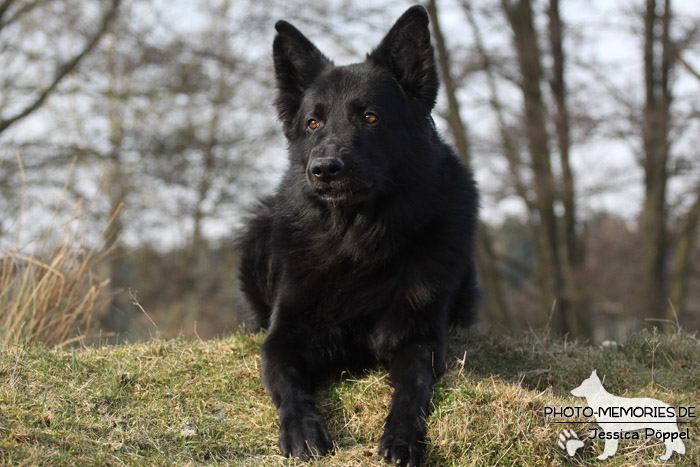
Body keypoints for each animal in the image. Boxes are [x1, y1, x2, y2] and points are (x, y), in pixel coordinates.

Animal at [238, 5, 478, 466]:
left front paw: (403, 437)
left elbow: (412, 387)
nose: (324, 169)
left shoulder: (420, 340)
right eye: (313, 122)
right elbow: (289, 387)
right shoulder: (281, 340)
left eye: (370, 117)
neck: (355, 243)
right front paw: (303, 430)